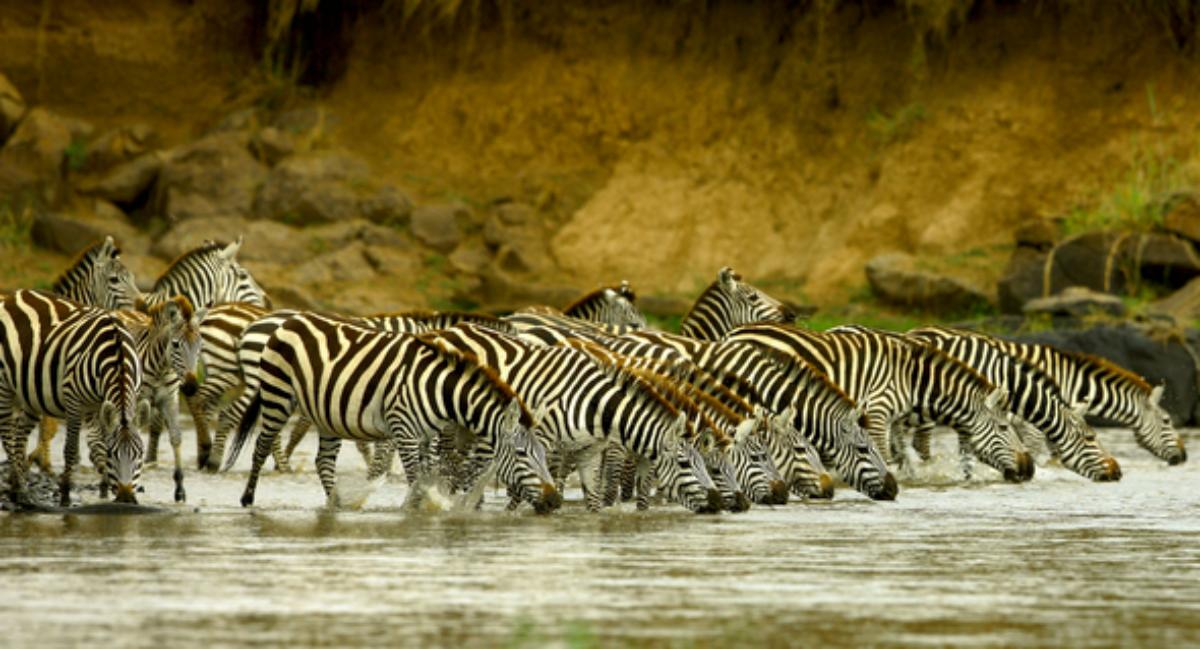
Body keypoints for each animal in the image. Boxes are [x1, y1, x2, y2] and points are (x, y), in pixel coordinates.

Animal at [0, 287, 148, 506]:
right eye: (113, 454)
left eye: (140, 454)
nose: (126, 497)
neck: (117, 354)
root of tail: (15, 295)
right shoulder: (74, 401)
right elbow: (71, 449)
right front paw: (65, 495)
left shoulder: (103, 404)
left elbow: (99, 442)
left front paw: (107, 489)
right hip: (4, 386)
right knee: (7, 435)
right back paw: (21, 489)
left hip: (30, 395)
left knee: (19, 438)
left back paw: (17, 489)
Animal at [223, 311, 559, 511]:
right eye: (521, 454)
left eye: (544, 453)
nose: (555, 500)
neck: (440, 389)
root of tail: (291, 320)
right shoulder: (405, 431)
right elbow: (416, 478)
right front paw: (413, 511)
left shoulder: (426, 435)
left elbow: (429, 474)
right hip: (277, 395)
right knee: (261, 446)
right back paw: (247, 499)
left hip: (326, 413)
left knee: (324, 462)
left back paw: (336, 504)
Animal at [412, 326, 720, 513]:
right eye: (685, 464)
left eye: (705, 463)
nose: (718, 504)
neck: (595, 406)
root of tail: (445, 330)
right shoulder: (542, 441)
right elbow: (531, 483)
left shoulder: (590, 451)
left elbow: (593, 500)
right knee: (450, 464)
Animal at [724, 321, 1027, 479]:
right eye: (1004, 428)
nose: (1028, 469)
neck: (912, 378)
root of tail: (734, 332)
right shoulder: (879, 410)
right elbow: (886, 455)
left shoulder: (894, 419)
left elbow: (902, 457)